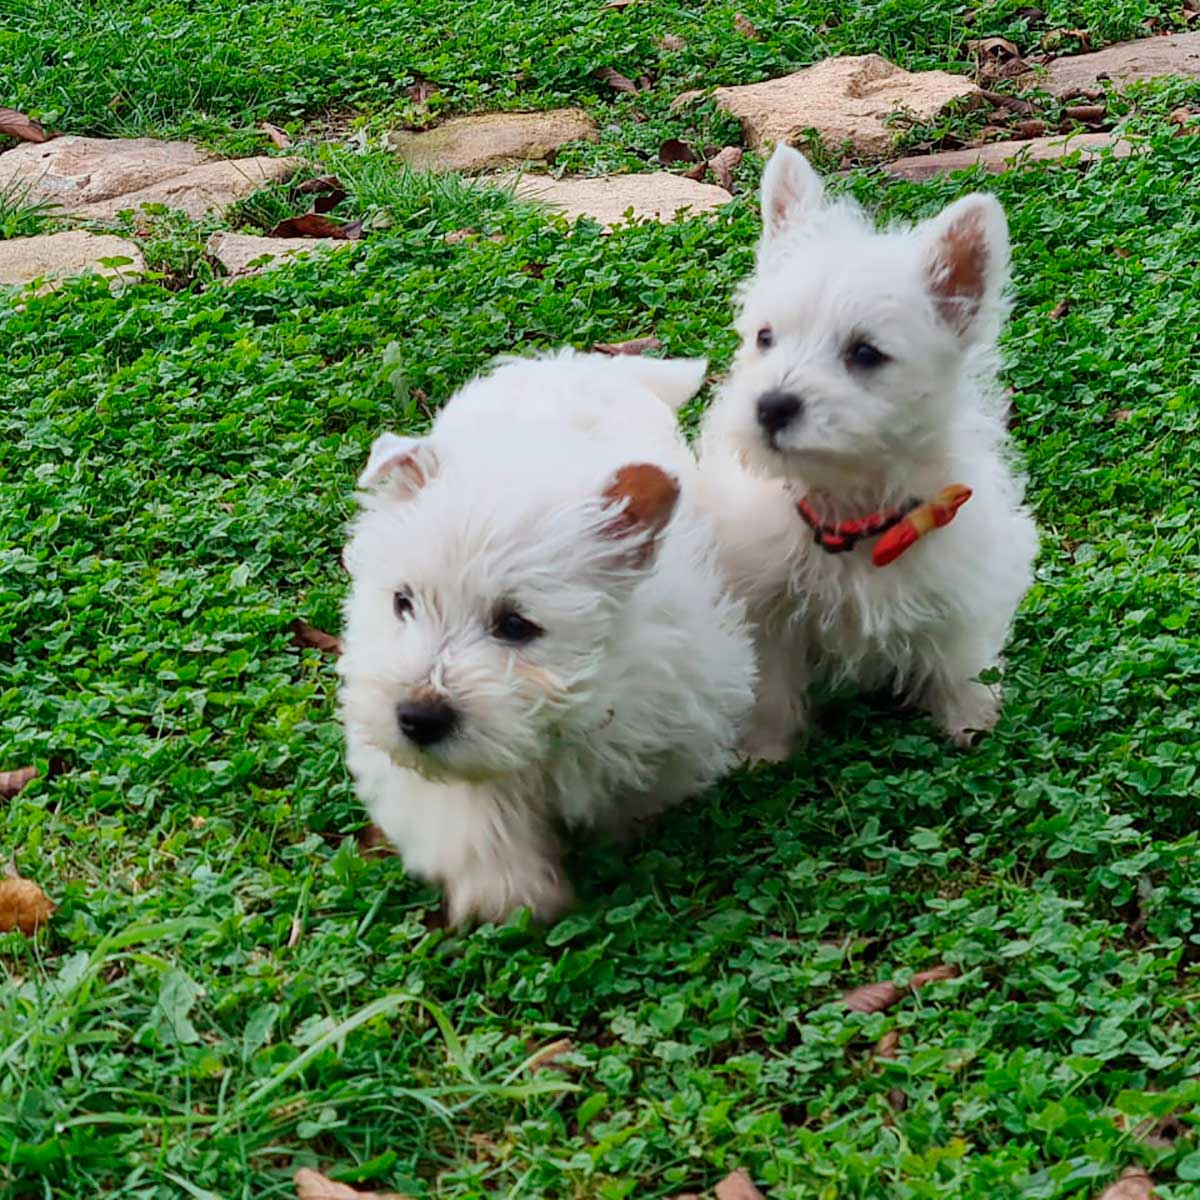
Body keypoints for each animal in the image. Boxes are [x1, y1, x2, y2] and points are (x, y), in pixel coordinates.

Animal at [338, 350, 753, 926]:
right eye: (403, 602)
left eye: (516, 625)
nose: (417, 718)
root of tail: (572, 362)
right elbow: (471, 814)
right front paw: (509, 893)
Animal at [700, 142, 1036, 758]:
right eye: (765, 337)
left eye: (865, 353)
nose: (771, 407)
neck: (848, 514)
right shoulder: (765, 607)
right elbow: (769, 687)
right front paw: (763, 751)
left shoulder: (963, 583)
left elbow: (960, 659)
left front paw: (970, 721)